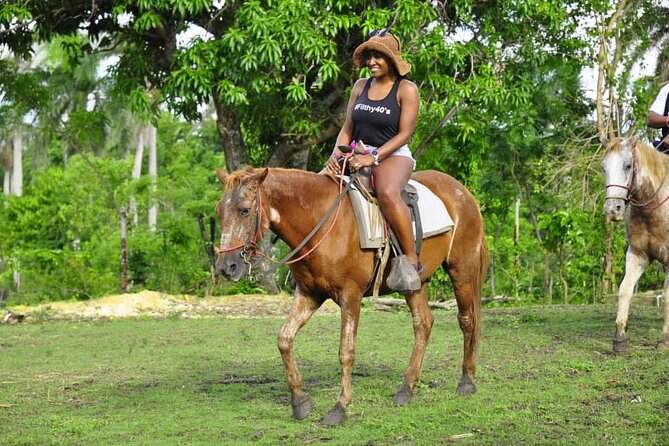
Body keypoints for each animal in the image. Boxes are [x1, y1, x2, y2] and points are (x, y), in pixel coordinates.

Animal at [214, 167, 486, 426]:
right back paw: (406, 389)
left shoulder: (350, 296)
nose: (227, 267)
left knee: (467, 320)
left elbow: (346, 351)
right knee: (423, 324)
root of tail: (463, 193)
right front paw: (300, 401)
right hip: (415, 284)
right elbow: (284, 339)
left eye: (245, 210)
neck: (321, 223)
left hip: (462, 269)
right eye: (219, 211)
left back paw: (466, 381)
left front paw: (339, 407)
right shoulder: (310, 293)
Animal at [600, 136, 668, 352]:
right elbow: (625, 290)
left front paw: (665, 339)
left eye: (628, 165)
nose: (613, 209)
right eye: (603, 167)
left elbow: (667, 296)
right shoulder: (637, 255)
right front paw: (620, 338)